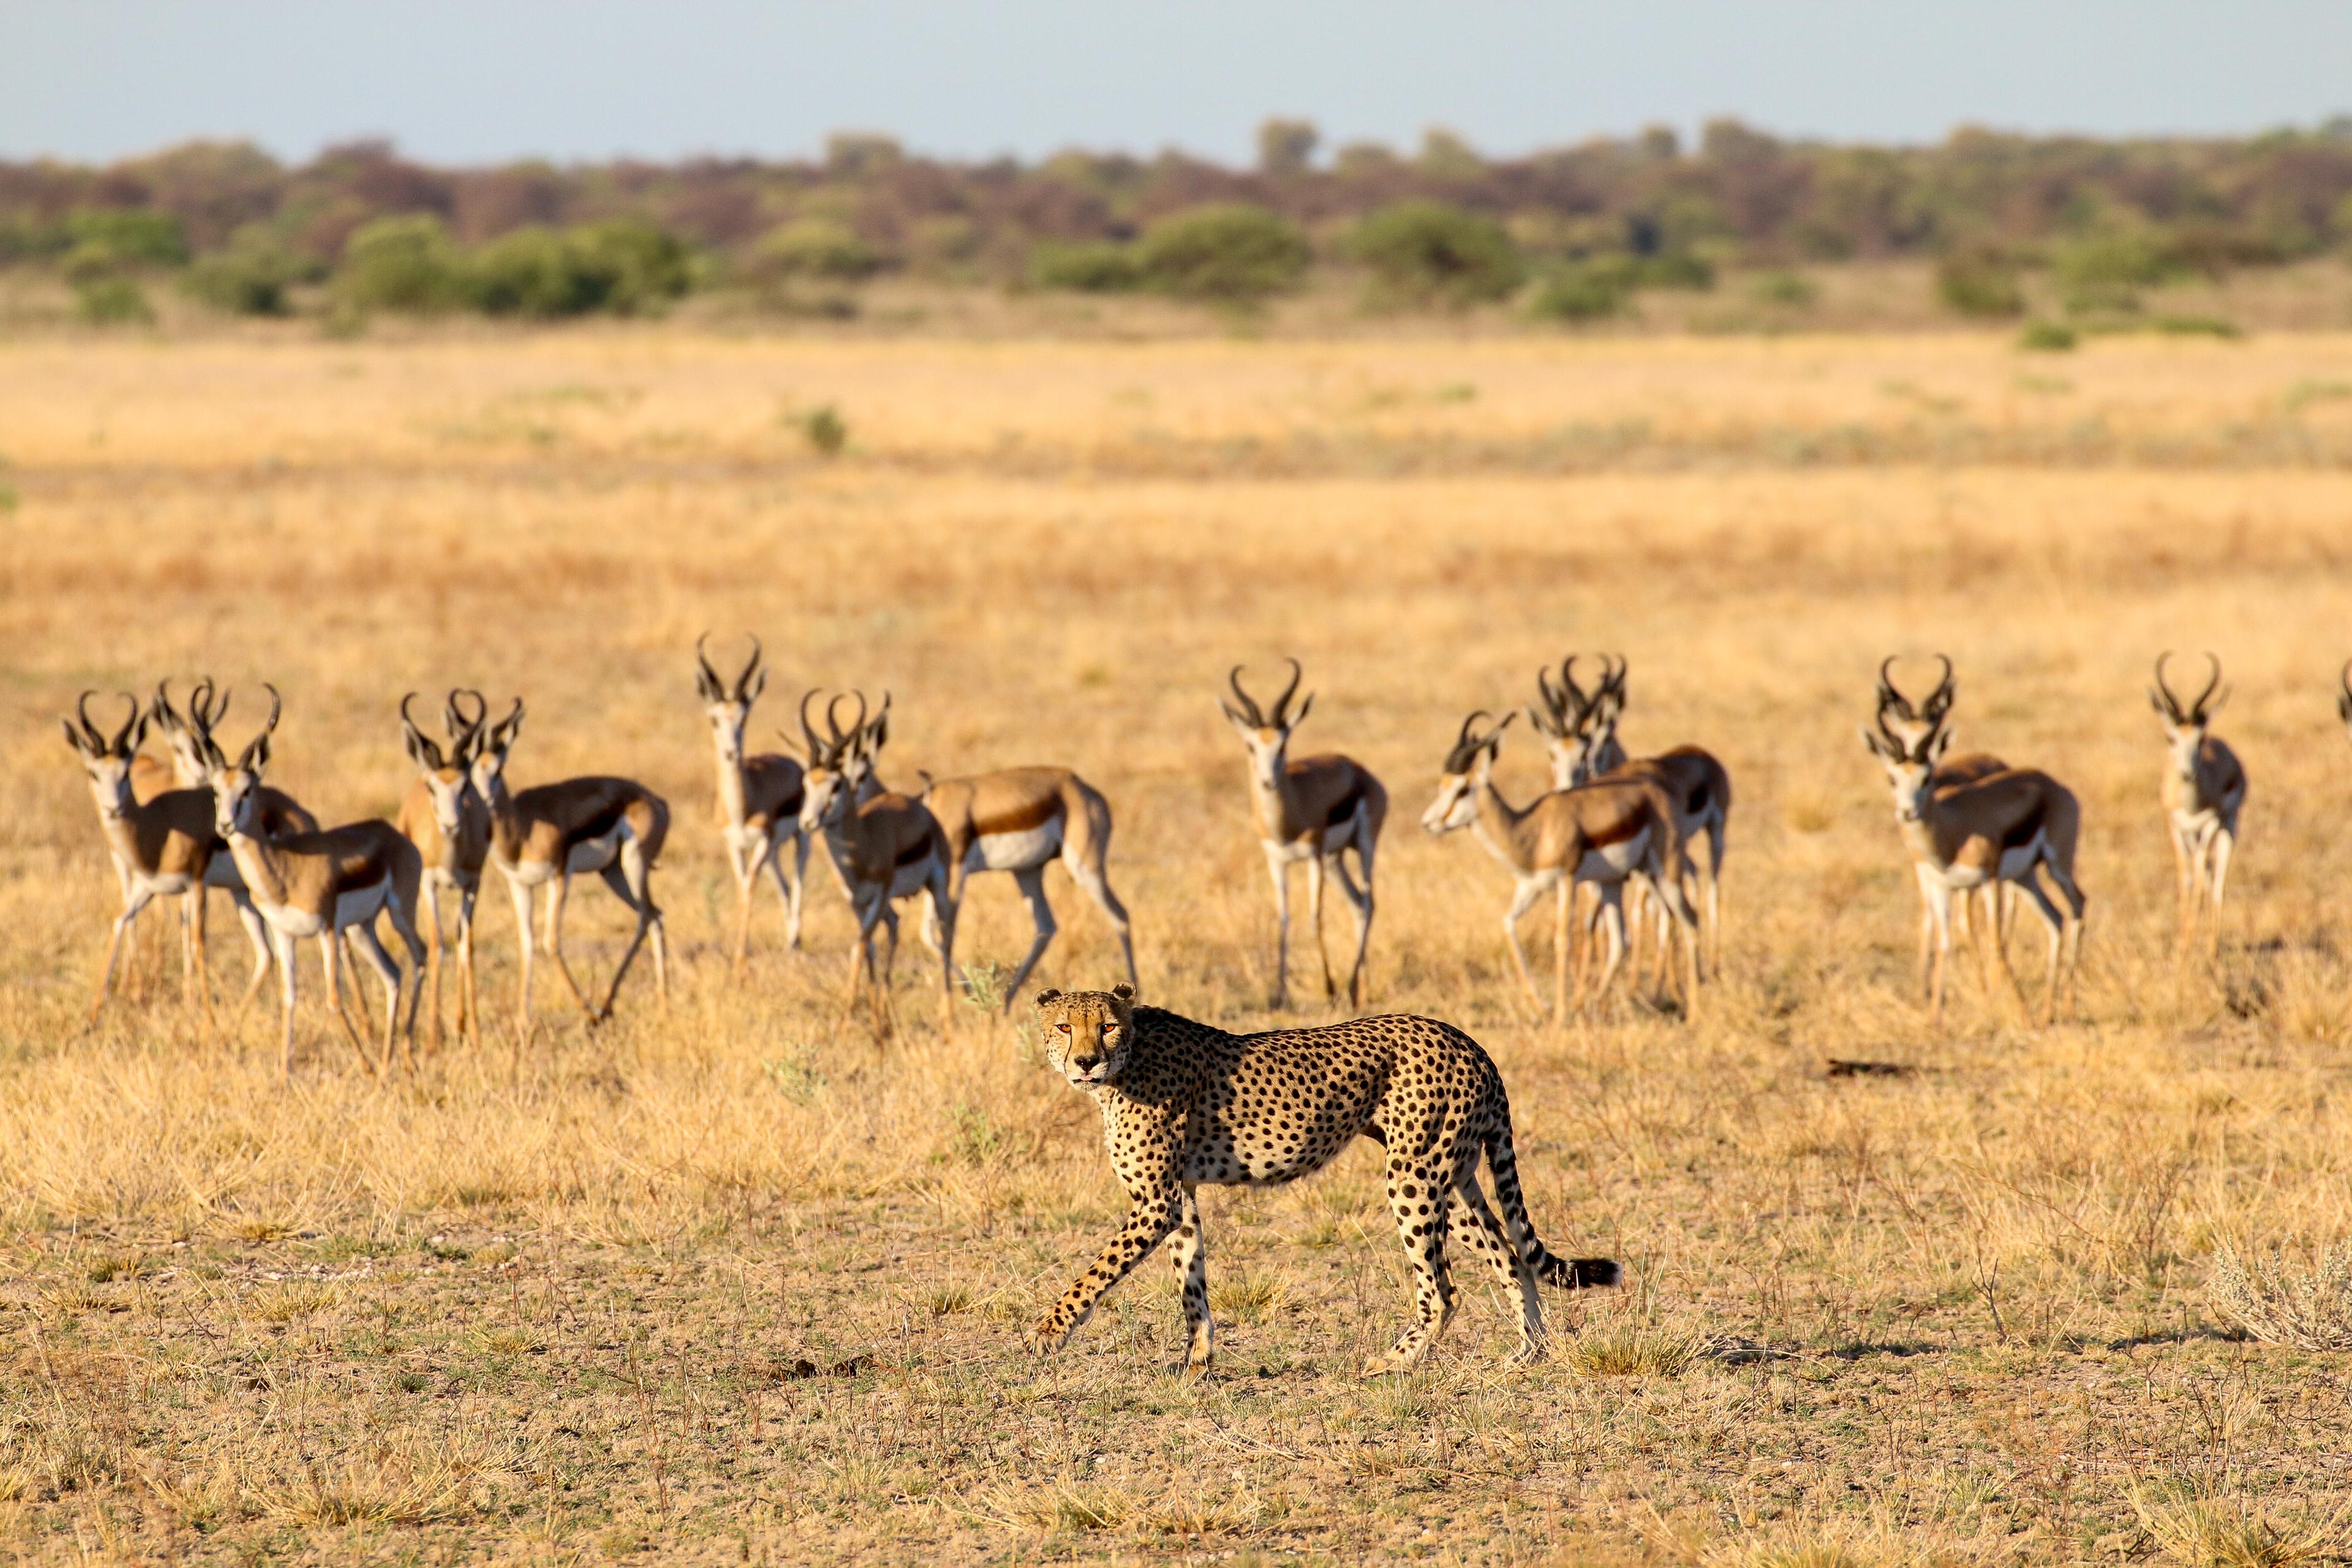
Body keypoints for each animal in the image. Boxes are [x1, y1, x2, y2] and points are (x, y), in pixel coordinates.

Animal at [1028, 984, 1618, 1376]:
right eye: (1065, 1026)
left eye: (1107, 1026)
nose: (1086, 1061)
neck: (1130, 1059)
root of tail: (1464, 1039)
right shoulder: (1180, 1199)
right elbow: (1190, 1281)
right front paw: (1197, 1362)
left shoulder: (1157, 1202)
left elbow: (1094, 1275)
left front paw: (1047, 1333)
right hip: (1455, 1178)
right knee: (1510, 1255)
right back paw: (1529, 1352)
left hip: (1414, 1175)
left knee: (1444, 1289)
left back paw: (1391, 1363)